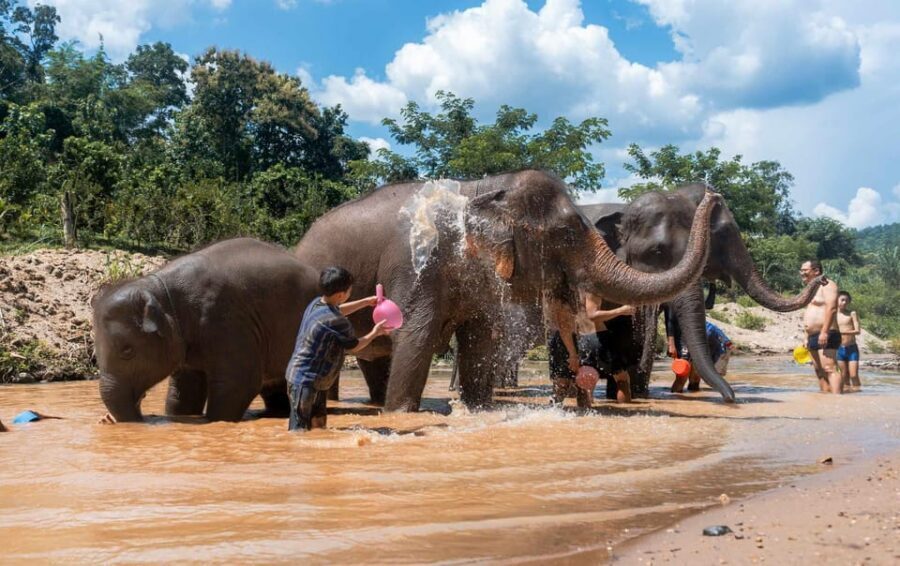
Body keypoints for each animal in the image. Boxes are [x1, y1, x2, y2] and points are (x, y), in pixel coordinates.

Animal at [93, 238, 320, 422]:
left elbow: (239, 383)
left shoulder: (225, 319)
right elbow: (185, 390)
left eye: (127, 351)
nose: (108, 419)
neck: (159, 287)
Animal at [294, 170, 721, 412]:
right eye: (567, 233)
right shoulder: (416, 262)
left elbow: (478, 339)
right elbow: (415, 337)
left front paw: (478, 409)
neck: (479, 190)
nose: (714, 195)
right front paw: (400, 414)